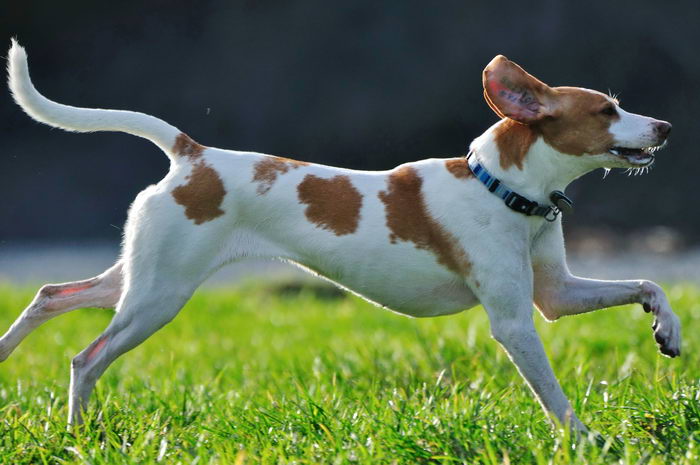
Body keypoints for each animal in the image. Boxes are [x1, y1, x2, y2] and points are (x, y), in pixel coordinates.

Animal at [0, 40, 680, 432]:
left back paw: (13, 362)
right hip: (156, 298)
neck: (501, 188)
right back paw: (77, 434)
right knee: (85, 358)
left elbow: (649, 283)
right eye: (606, 111)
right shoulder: (515, 323)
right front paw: (585, 441)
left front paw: (667, 331)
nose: (667, 126)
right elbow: (555, 398)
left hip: (138, 280)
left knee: (50, 297)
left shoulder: (555, 296)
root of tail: (194, 156)